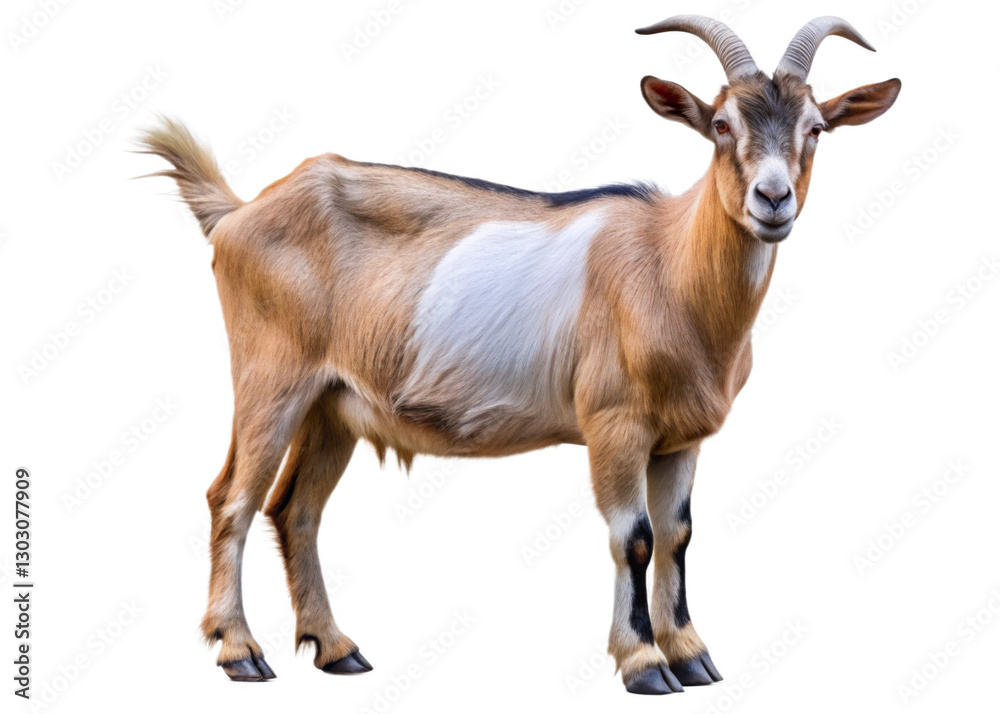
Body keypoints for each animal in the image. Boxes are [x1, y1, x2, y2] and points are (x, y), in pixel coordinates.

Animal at [139, 15, 900, 694]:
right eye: (719, 125)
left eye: (816, 128)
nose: (772, 199)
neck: (667, 266)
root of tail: (238, 213)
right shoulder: (614, 424)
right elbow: (634, 536)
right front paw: (644, 665)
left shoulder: (682, 437)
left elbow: (678, 535)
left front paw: (692, 657)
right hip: (271, 377)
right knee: (232, 498)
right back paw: (240, 652)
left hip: (334, 404)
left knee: (295, 509)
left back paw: (336, 649)